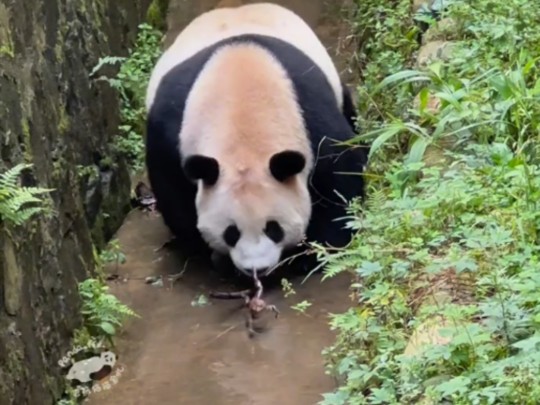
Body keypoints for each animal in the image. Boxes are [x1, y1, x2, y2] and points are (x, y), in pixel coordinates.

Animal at [146, 2, 370, 278]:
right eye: (231, 233)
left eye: (273, 228)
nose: (257, 269)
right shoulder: (171, 132)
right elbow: (174, 194)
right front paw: (215, 256)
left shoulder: (308, 111)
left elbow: (339, 171)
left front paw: (311, 253)